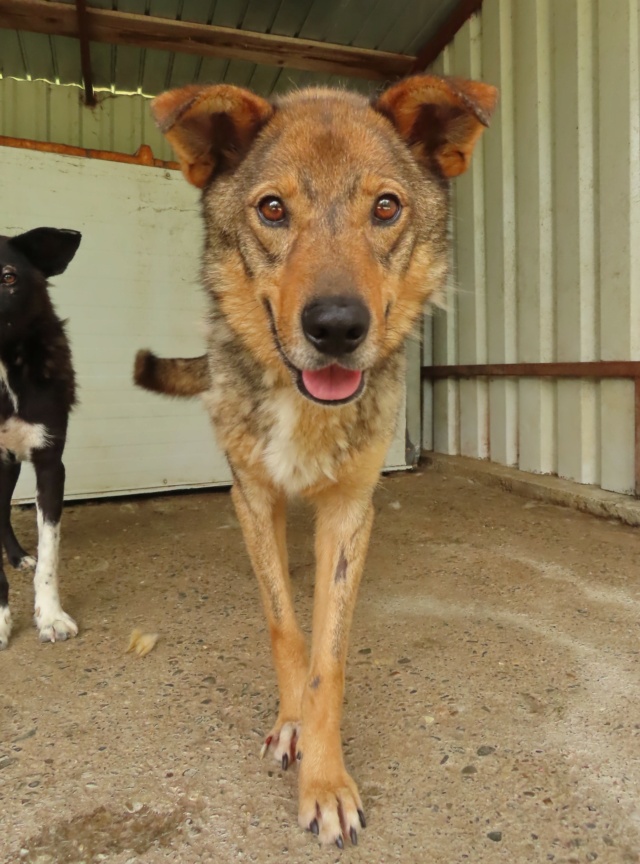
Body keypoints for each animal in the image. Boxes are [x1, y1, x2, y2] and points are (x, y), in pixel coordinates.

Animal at [134, 74, 496, 844]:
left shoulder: (350, 510)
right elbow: (286, 627)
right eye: (273, 209)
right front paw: (293, 725)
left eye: (386, 207)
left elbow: (329, 655)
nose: (336, 327)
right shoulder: (251, 495)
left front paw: (326, 782)